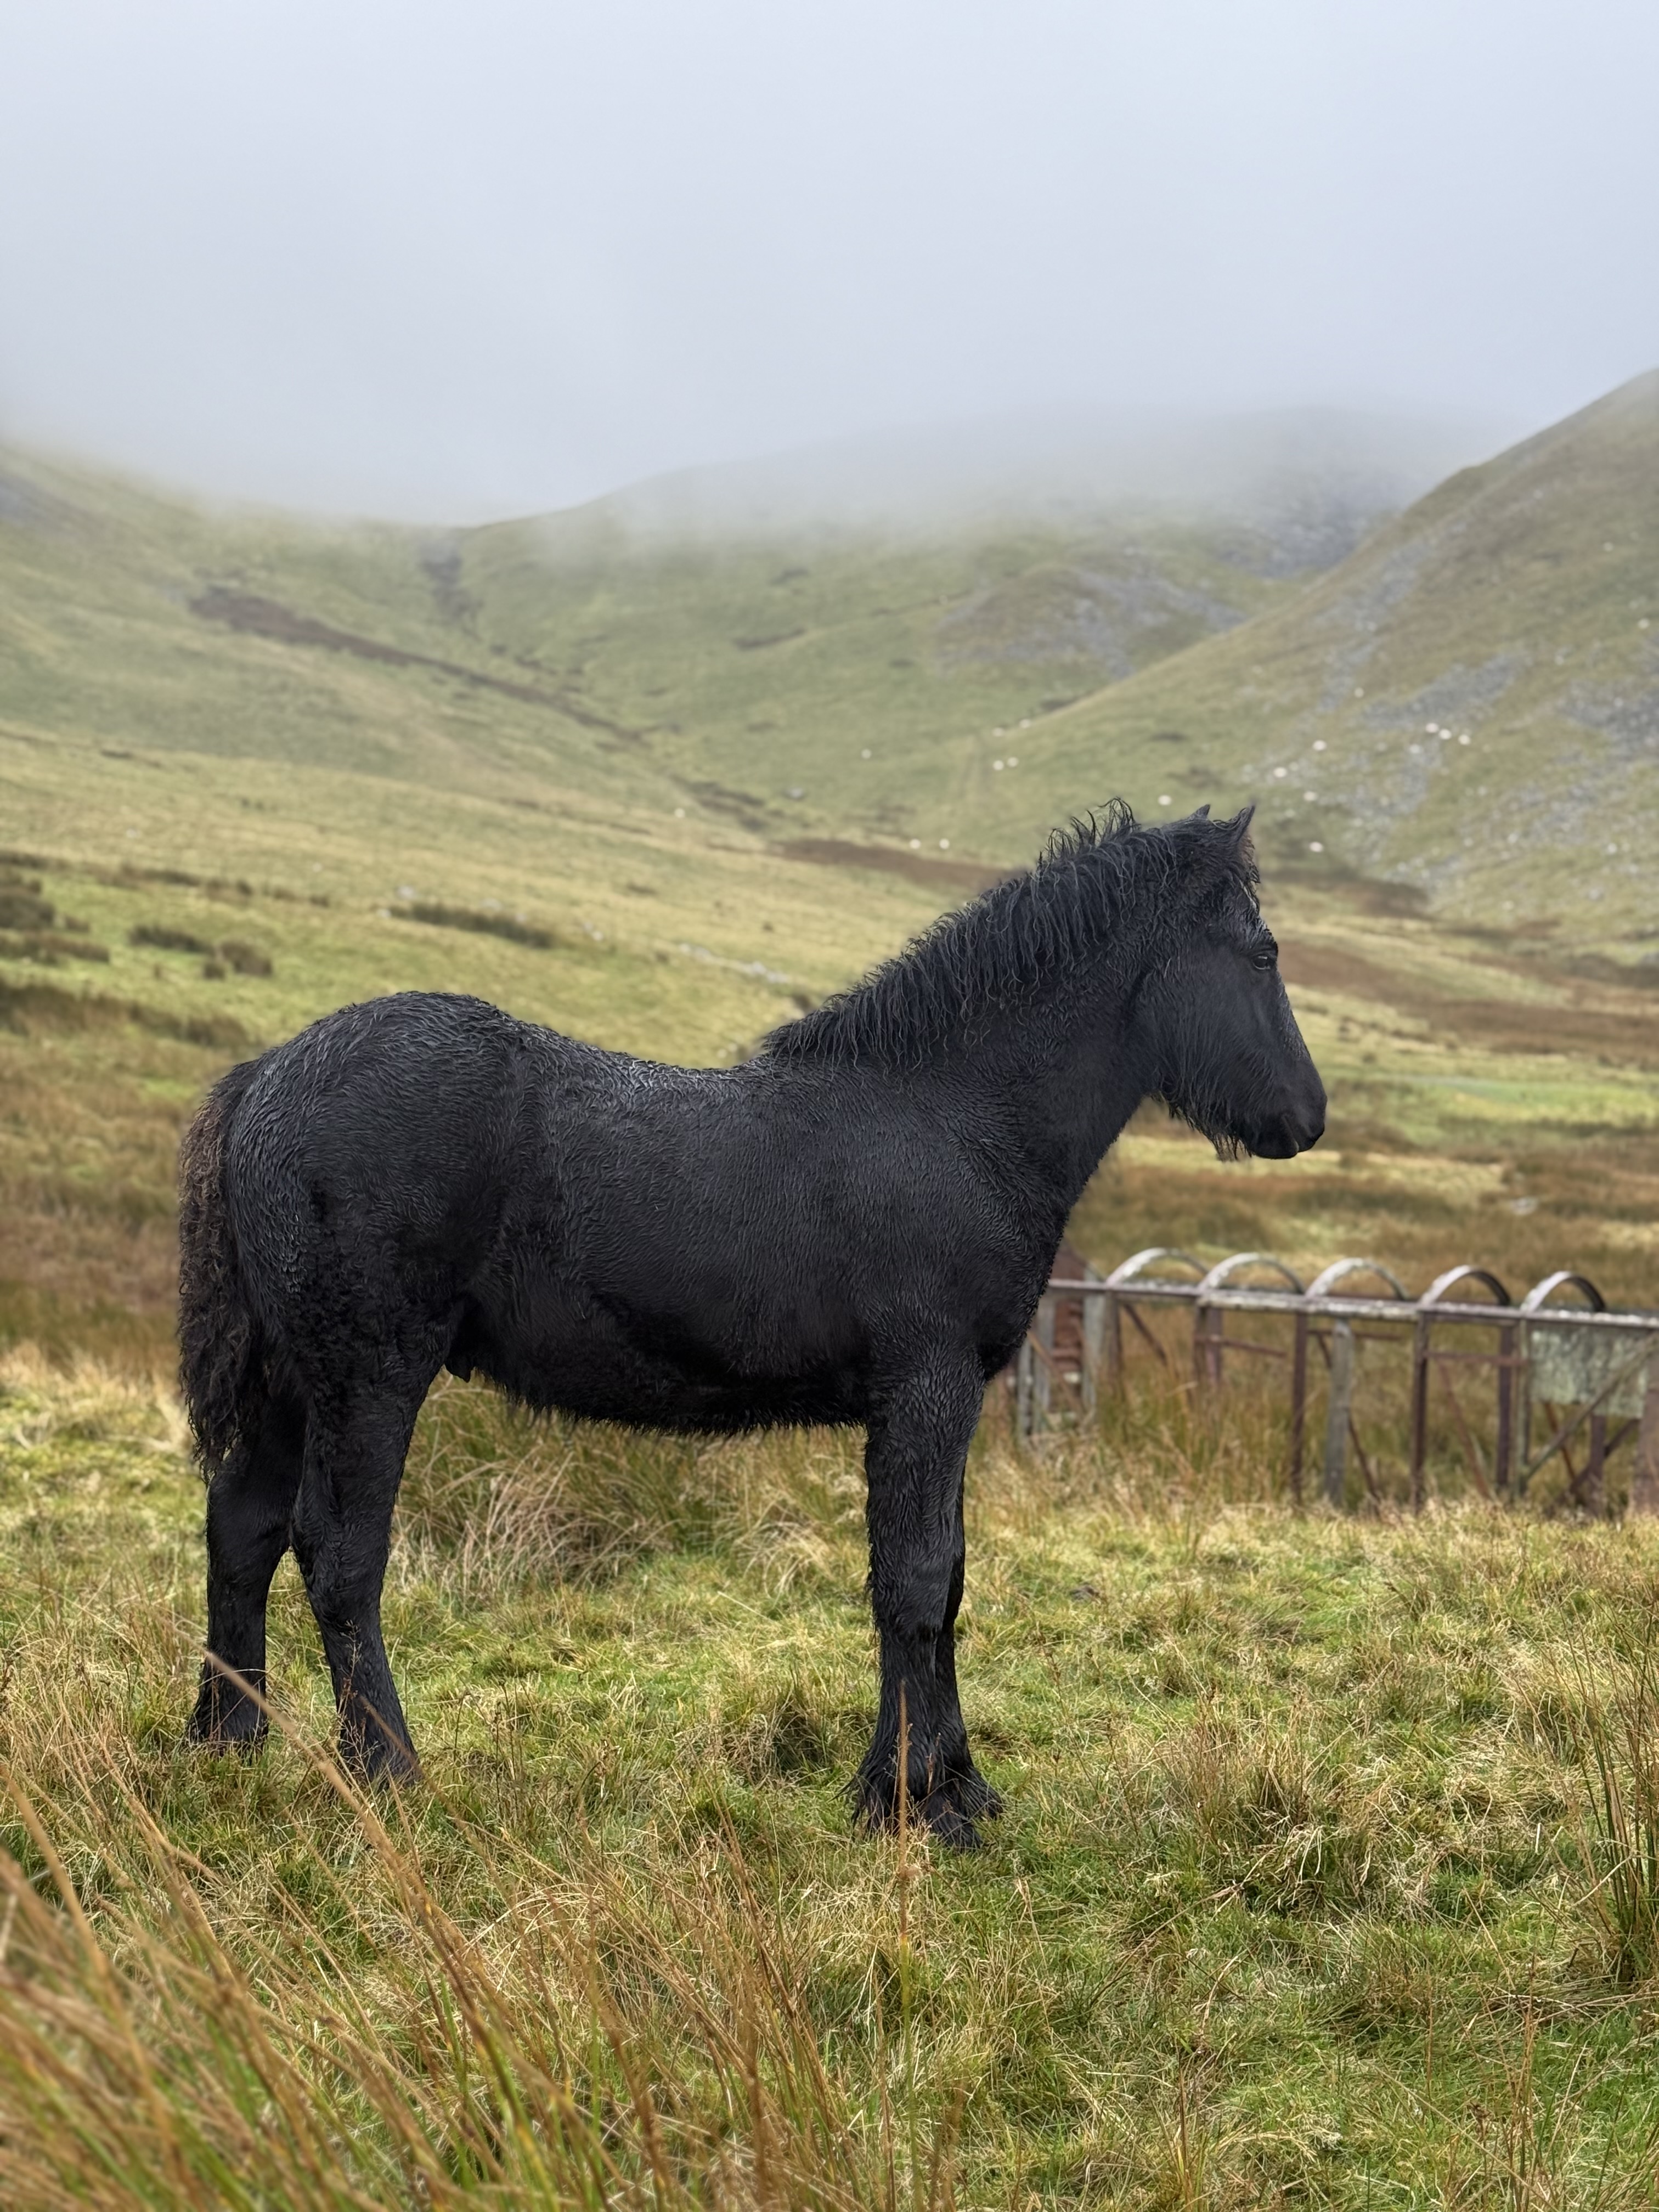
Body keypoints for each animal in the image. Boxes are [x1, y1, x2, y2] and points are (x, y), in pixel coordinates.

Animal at [178, 802, 1324, 1846]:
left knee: (244, 1525)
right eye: (1262, 950)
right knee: (340, 1551)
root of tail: (265, 1076)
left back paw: (232, 1738)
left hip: (294, 1380)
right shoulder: (927, 1390)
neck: (951, 1121)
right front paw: (920, 1805)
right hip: (369, 1372)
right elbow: (914, 1583)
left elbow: (940, 1579)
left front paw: (947, 1785)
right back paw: (389, 1773)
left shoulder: (936, 1403)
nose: (1306, 1116)